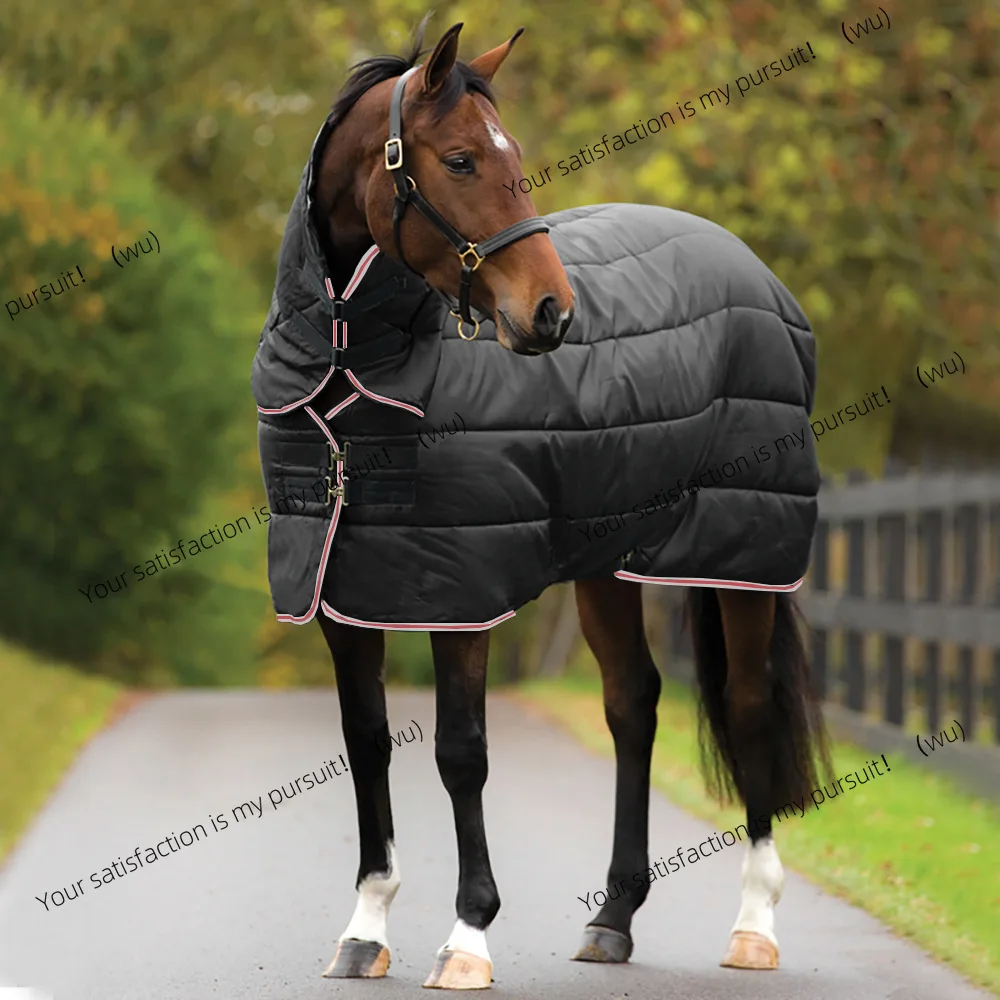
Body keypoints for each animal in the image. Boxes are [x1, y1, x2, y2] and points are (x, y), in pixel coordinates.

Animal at [253, 15, 830, 991]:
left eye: (513, 156)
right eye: (458, 160)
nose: (553, 313)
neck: (353, 361)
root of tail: (757, 274)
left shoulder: (461, 594)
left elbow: (461, 754)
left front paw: (467, 938)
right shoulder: (341, 590)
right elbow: (366, 741)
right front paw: (365, 930)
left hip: (742, 556)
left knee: (749, 705)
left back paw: (755, 926)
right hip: (606, 564)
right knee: (633, 703)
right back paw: (613, 919)